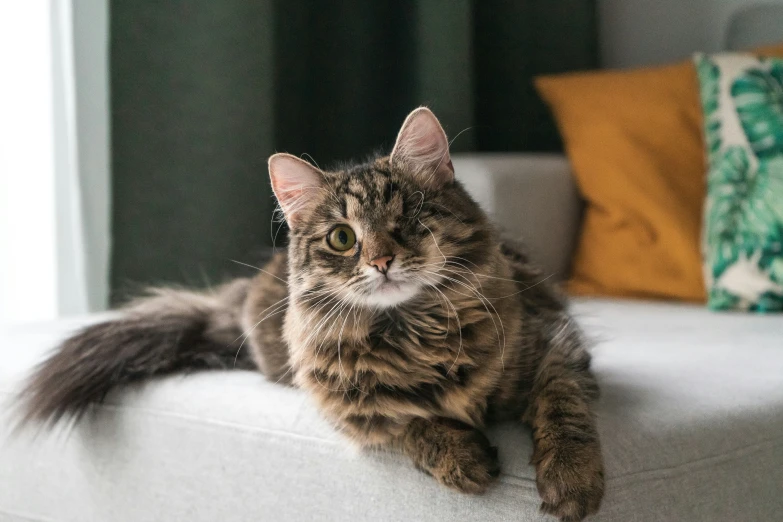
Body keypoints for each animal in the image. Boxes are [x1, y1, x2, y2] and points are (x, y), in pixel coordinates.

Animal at [18, 106, 608, 520]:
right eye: (342, 238)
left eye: (407, 220)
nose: (381, 261)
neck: (413, 333)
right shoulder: (344, 404)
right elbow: (408, 424)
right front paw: (462, 458)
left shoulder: (554, 339)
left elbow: (564, 406)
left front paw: (573, 482)